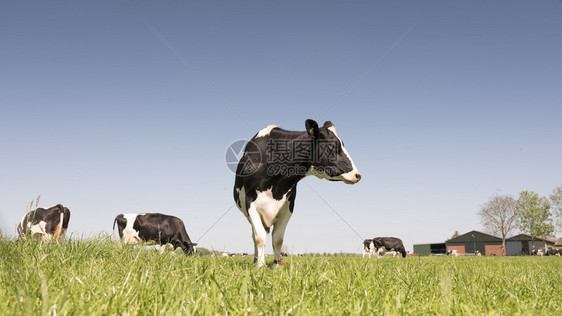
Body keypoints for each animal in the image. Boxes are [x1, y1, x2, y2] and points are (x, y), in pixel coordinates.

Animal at [231, 119, 358, 266]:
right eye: (332, 146)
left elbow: (278, 239)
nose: (357, 175)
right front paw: (260, 266)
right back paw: (256, 260)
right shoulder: (251, 202)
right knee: (254, 235)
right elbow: (260, 238)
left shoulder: (288, 207)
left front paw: (276, 265)